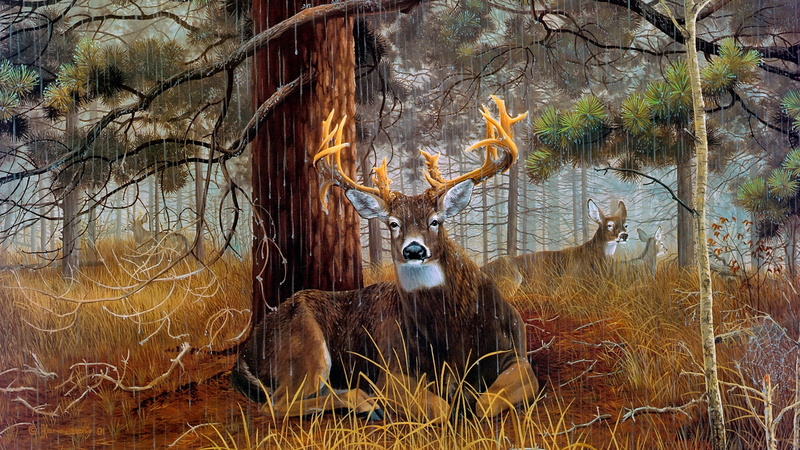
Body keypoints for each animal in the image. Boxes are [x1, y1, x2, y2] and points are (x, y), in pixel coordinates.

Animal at [231, 96, 539, 423]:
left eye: (435, 221)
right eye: (393, 223)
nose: (414, 250)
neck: (453, 335)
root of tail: (245, 352)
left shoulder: (518, 356)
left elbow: (487, 403)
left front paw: (469, 399)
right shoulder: (389, 367)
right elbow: (441, 409)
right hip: (304, 346)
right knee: (276, 404)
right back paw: (368, 404)